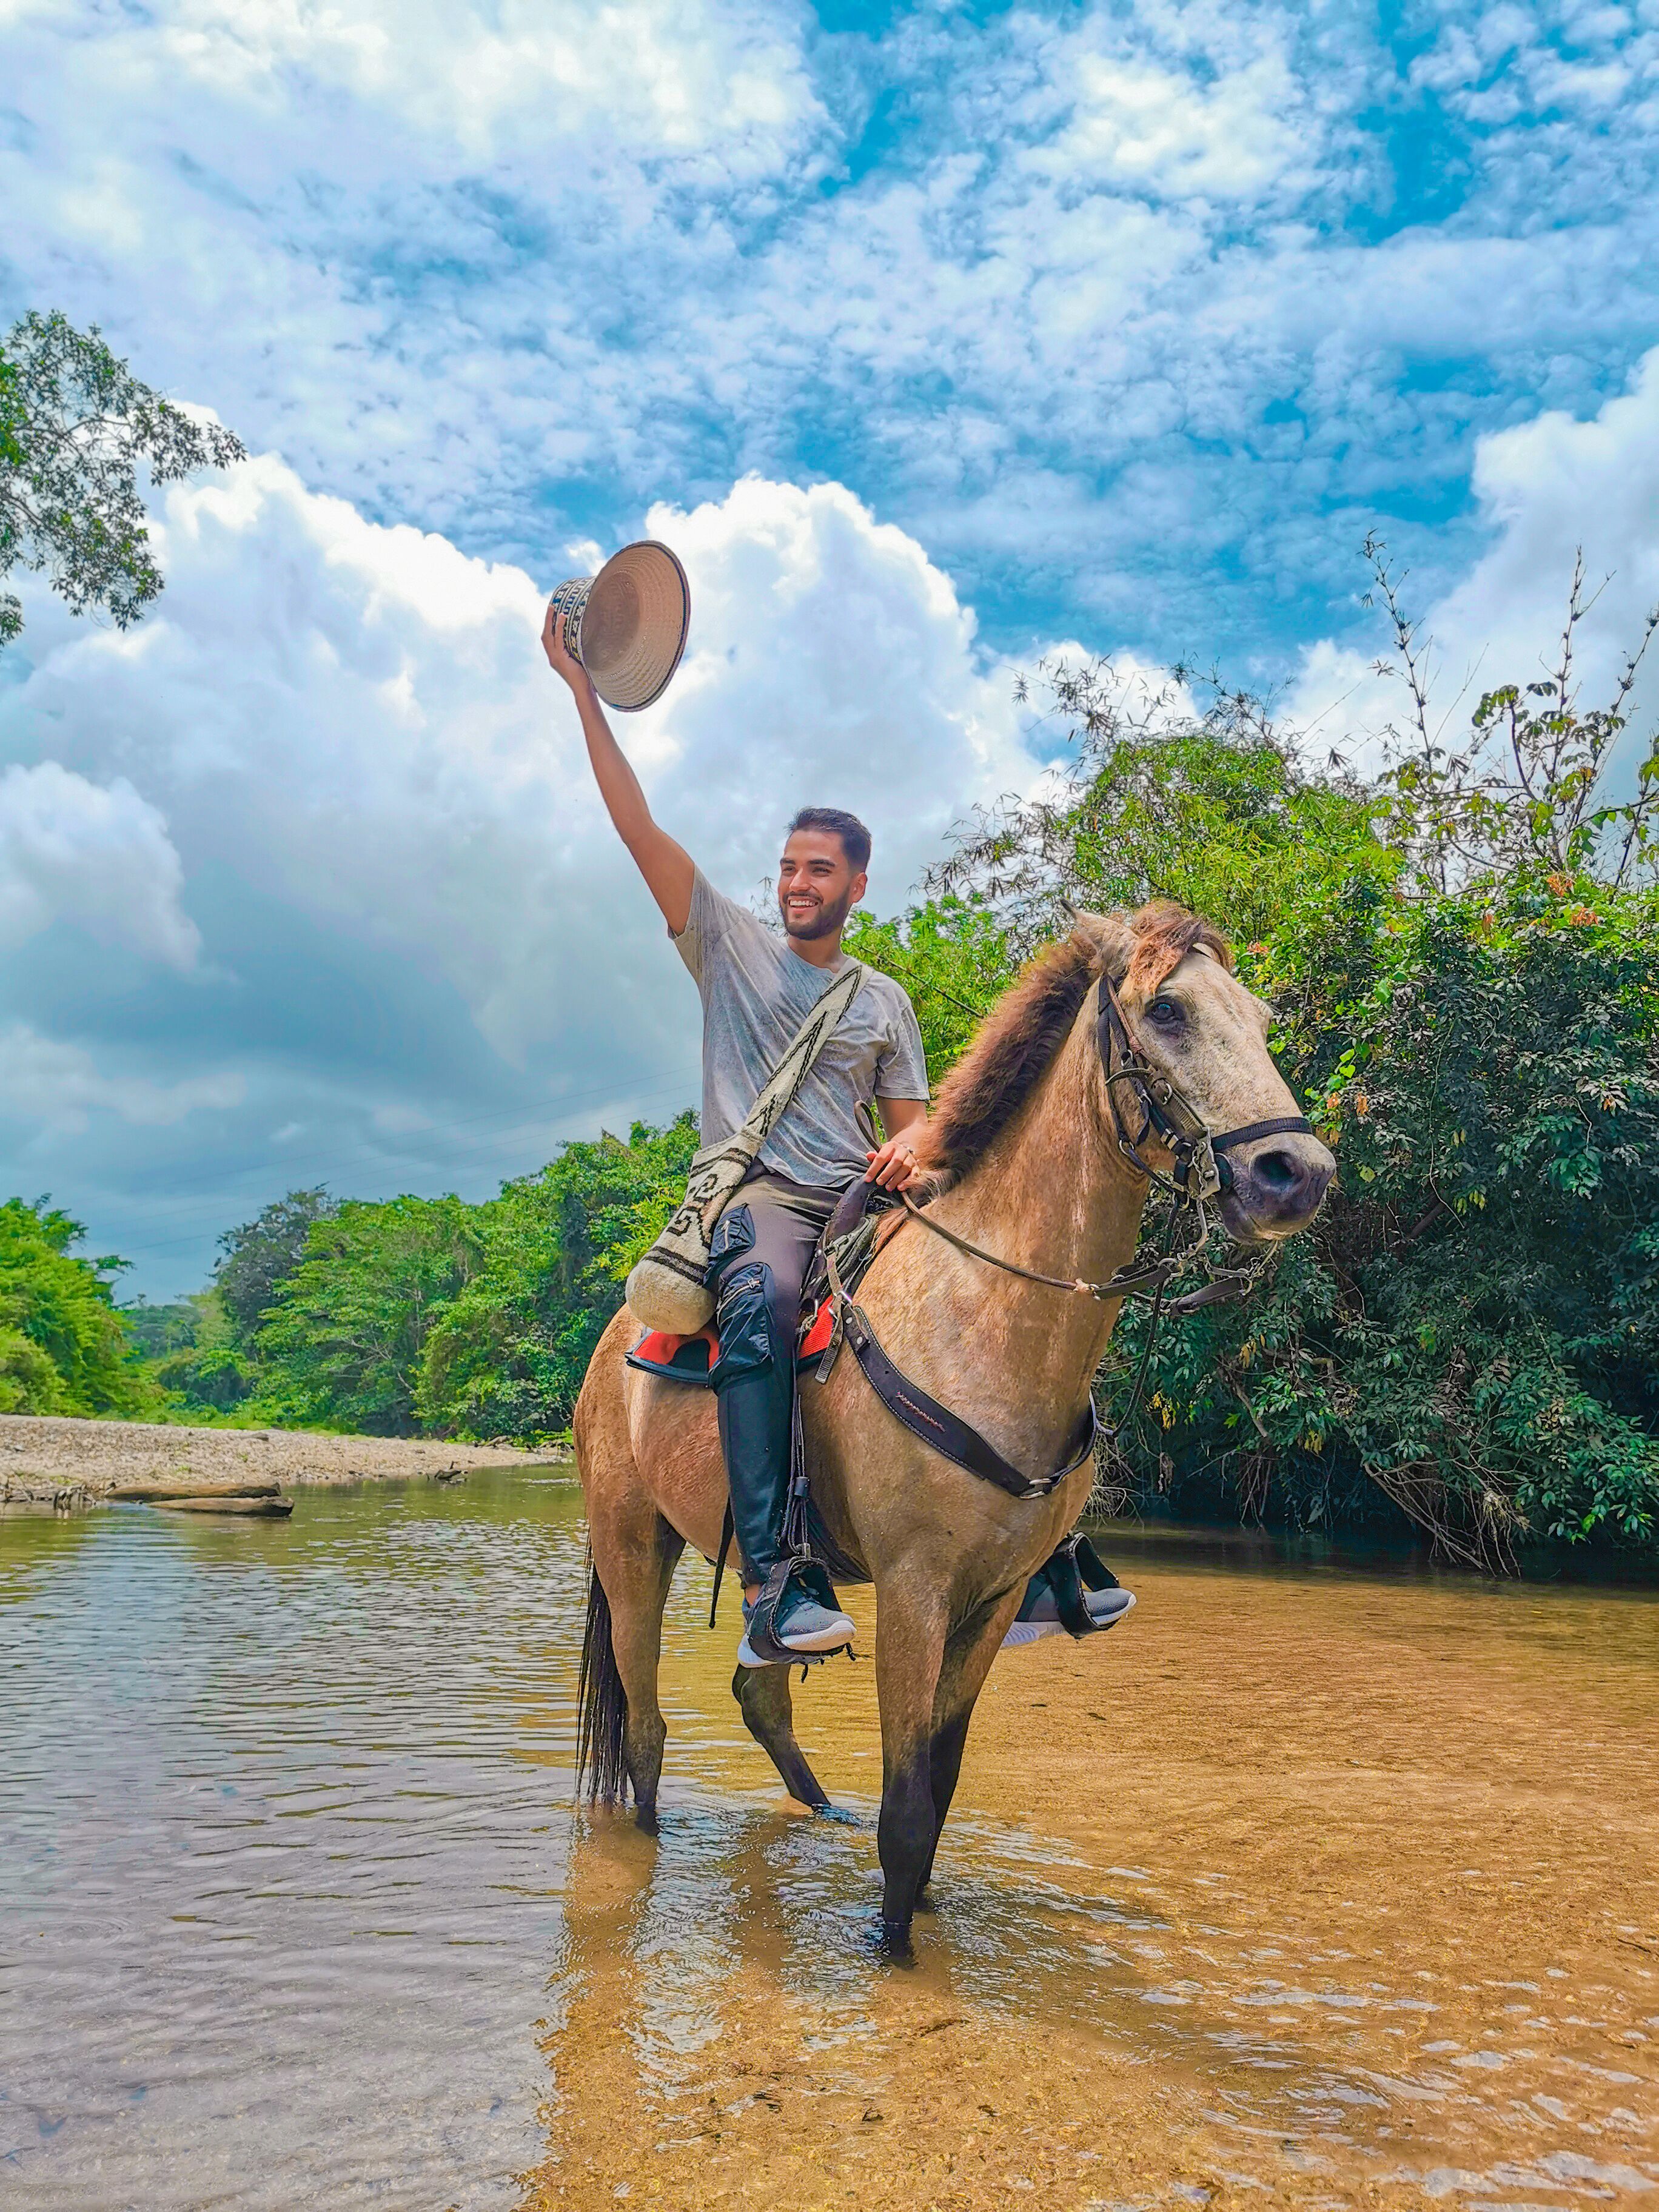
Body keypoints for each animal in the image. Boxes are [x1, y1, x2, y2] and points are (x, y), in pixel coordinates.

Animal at [572, 902, 1336, 1944]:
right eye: (1168, 1011)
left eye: (1259, 1019)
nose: (1298, 1174)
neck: (986, 1311)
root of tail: (613, 1342)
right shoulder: (914, 1590)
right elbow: (904, 1809)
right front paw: (891, 1954)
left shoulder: (998, 1596)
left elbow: (938, 1792)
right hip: (631, 1541)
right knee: (647, 1733)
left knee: (760, 1685)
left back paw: (819, 1811)